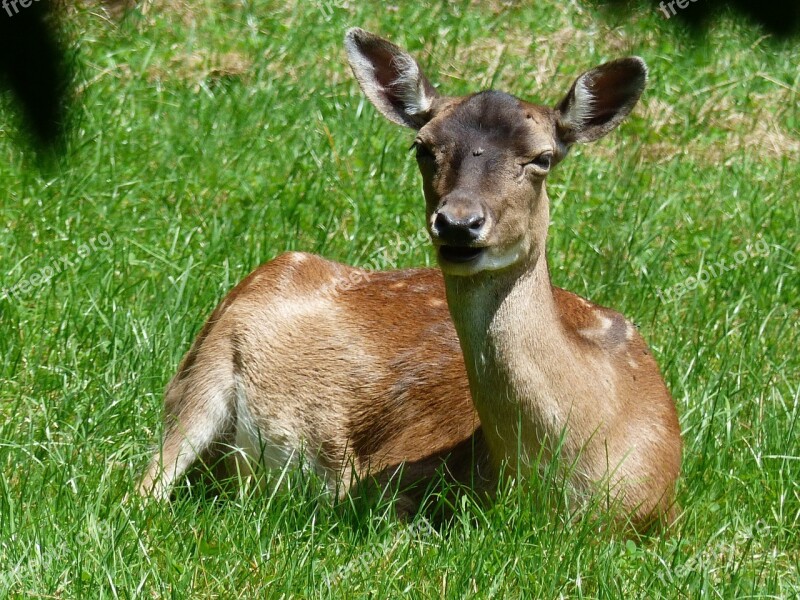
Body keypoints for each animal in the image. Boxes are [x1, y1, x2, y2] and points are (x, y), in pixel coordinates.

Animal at [139, 28, 680, 532]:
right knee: (145, 487)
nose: (458, 223)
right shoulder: (384, 475)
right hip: (201, 374)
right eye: (423, 147)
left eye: (542, 158)